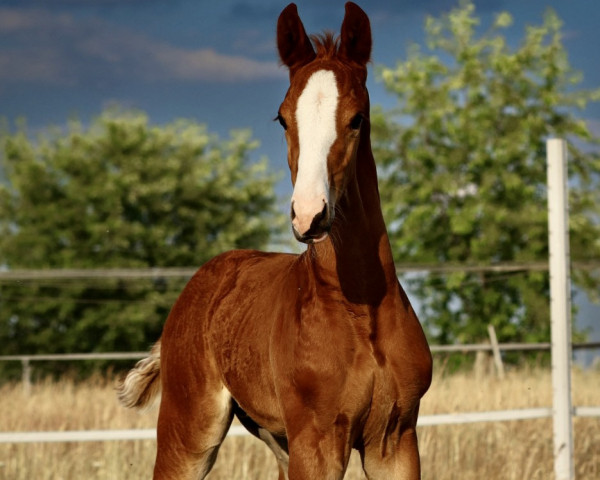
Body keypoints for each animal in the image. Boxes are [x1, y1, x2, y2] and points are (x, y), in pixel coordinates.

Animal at [117, 3, 432, 480]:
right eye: (282, 118)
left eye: (357, 118)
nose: (309, 214)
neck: (359, 311)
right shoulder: (318, 442)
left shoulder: (394, 440)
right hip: (190, 428)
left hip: (278, 439)